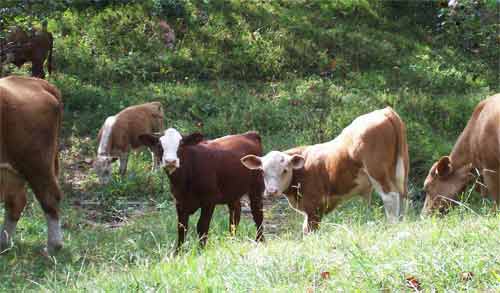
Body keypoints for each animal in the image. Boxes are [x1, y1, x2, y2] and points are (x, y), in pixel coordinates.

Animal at [242, 107, 410, 233]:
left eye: (284, 170)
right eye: (263, 171)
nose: (271, 191)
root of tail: (384, 111)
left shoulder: (314, 206)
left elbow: (310, 230)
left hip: (378, 172)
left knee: (390, 197)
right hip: (401, 170)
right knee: (403, 197)